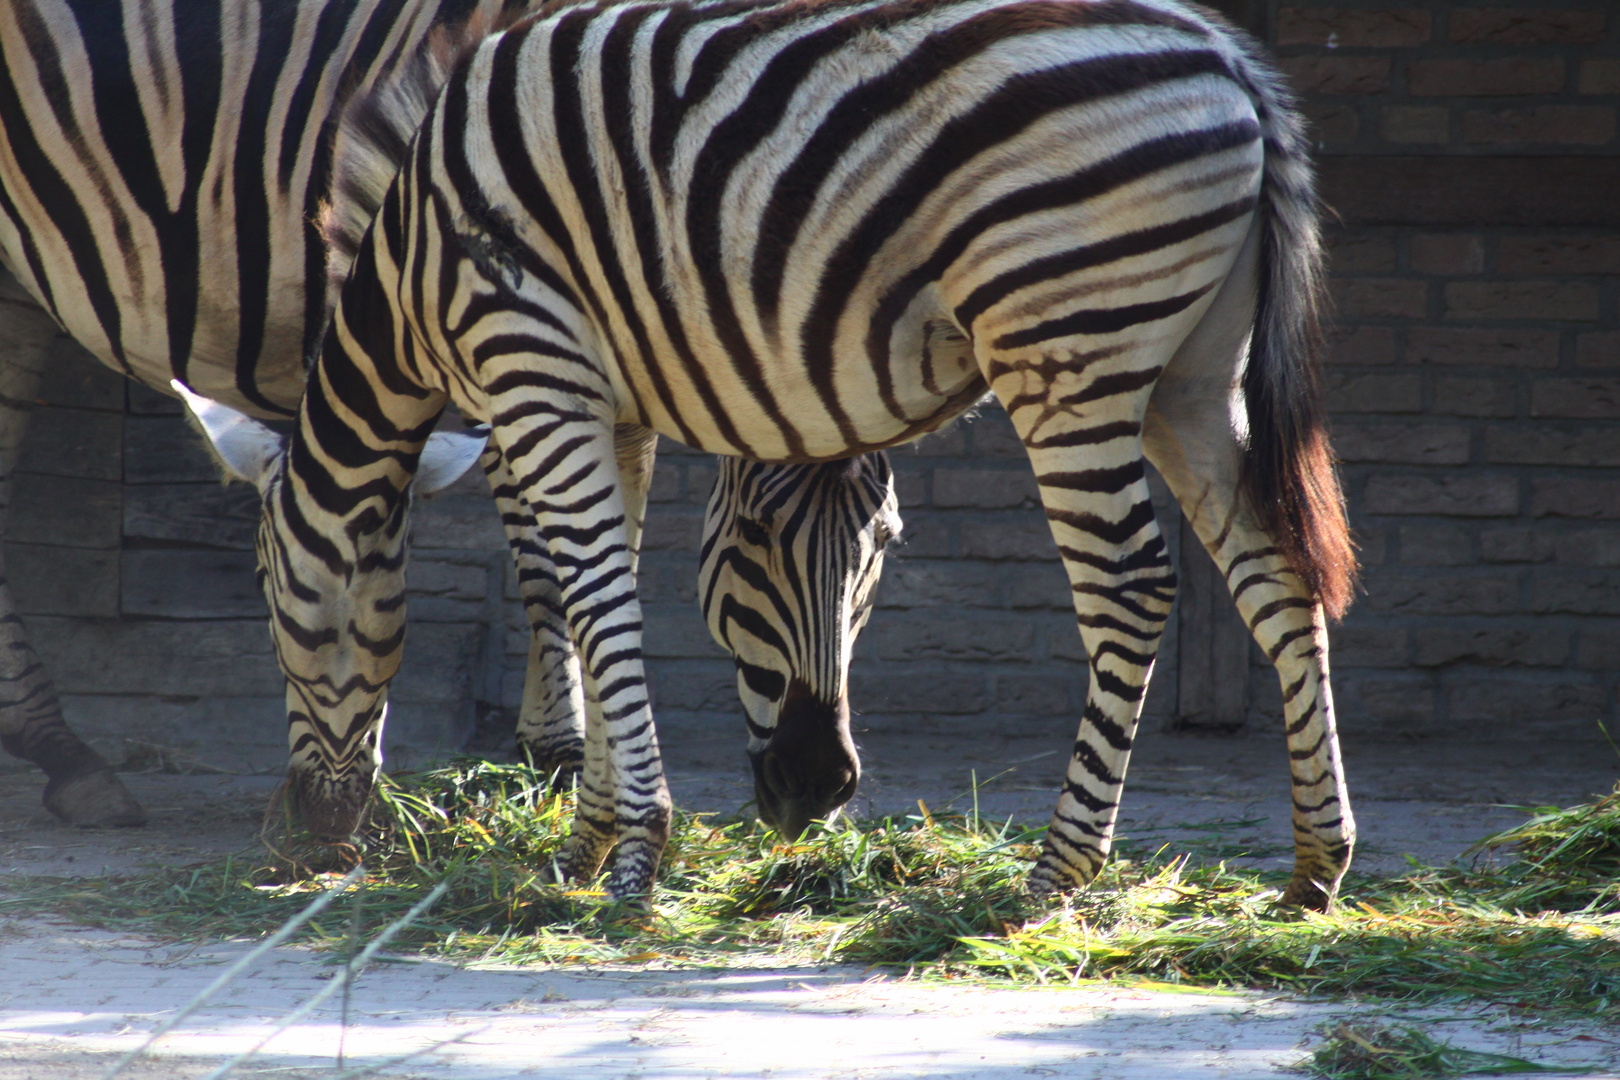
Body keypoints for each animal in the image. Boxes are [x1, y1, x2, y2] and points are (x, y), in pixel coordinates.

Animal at [183, 0, 1360, 906]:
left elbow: (596, 597)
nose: (303, 837)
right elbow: (591, 592)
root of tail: (1228, 57)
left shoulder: (533, 366)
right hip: (1190, 377)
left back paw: (1052, 878)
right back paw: (1313, 871)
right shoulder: (613, 406)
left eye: (276, 599)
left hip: (1070, 350)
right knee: (1273, 568)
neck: (413, 260)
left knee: (1131, 586)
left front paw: (633, 857)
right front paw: (589, 841)